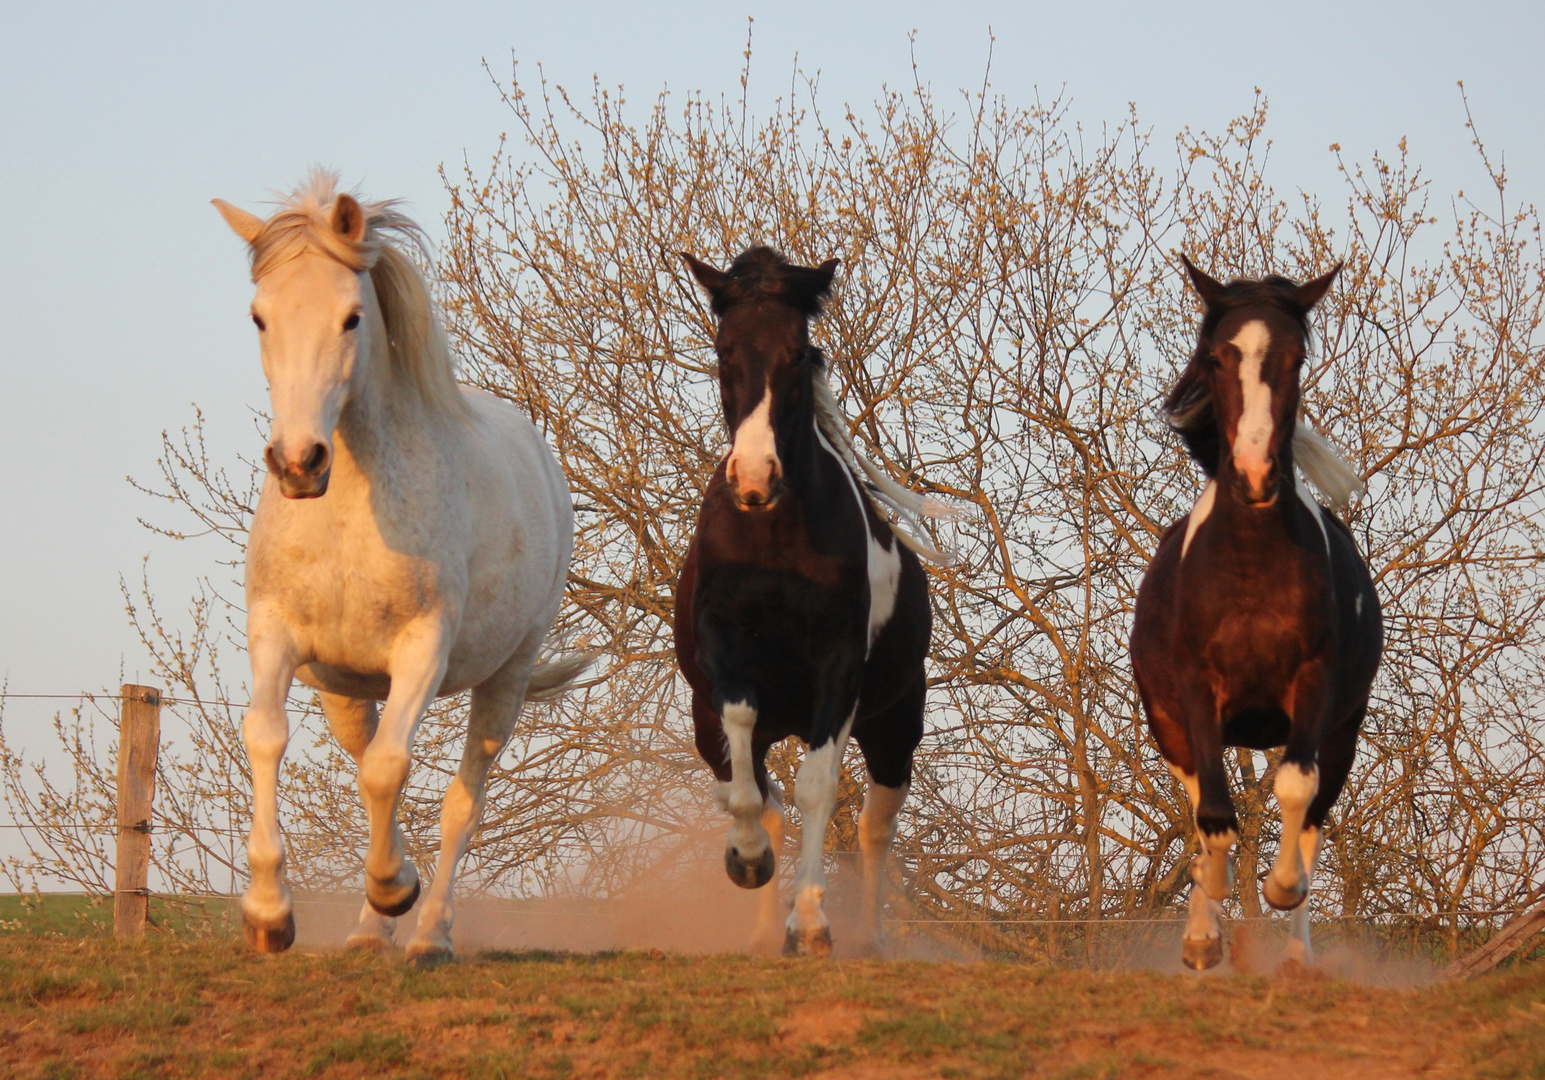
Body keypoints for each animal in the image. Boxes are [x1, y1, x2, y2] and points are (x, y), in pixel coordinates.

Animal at [211, 175, 584, 964]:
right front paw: (268, 914)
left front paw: (393, 887)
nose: (298, 462)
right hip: (345, 692)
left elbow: (391, 771)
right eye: (260, 317)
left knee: (461, 800)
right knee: (371, 763)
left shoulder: (423, 648)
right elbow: (268, 737)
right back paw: (363, 934)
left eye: (351, 317)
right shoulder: (276, 635)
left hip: (504, 680)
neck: (352, 508)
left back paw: (427, 931)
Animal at [679, 248, 951, 957]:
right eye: (724, 349)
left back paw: (868, 938)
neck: (772, 533)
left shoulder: (839, 666)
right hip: (713, 722)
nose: (755, 477)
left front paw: (809, 924)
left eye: (797, 354)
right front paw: (747, 860)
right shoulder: (722, 652)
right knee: (755, 788)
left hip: (895, 729)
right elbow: (747, 767)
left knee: (874, 825)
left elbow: (819, 788)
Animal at [1130, 259, 1384, 970]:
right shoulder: (1195, 694)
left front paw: (1280, 888)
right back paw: (1201, 930)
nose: (1252, 473)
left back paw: (1297, 957)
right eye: (1218, 358)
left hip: (1342, 730)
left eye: (1296, 358)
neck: (1248, 565)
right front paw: (1205, 912)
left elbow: (1295, 790)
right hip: (1171, 727)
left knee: (1314, 816)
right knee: (1200, 806)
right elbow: (1215, 815)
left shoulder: (1316, 686)